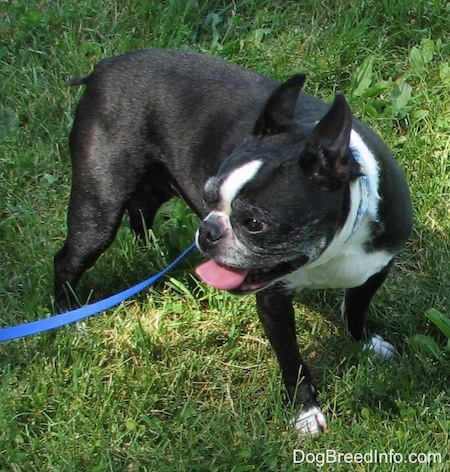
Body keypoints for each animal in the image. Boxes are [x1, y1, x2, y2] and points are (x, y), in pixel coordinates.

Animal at [54, 48, 414, 436]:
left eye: (255, 224)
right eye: (208, 196)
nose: (208, 230)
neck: (331, 251)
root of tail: (103, 67)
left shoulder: (375, 267)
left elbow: (356, 309)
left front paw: (363, 343)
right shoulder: (273, 300)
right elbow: (292, 360)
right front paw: (304, 411)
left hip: (154, 182)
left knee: (141, 208)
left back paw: (149, 250)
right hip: (99, 205)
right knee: (68, 259)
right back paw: (71, 317)